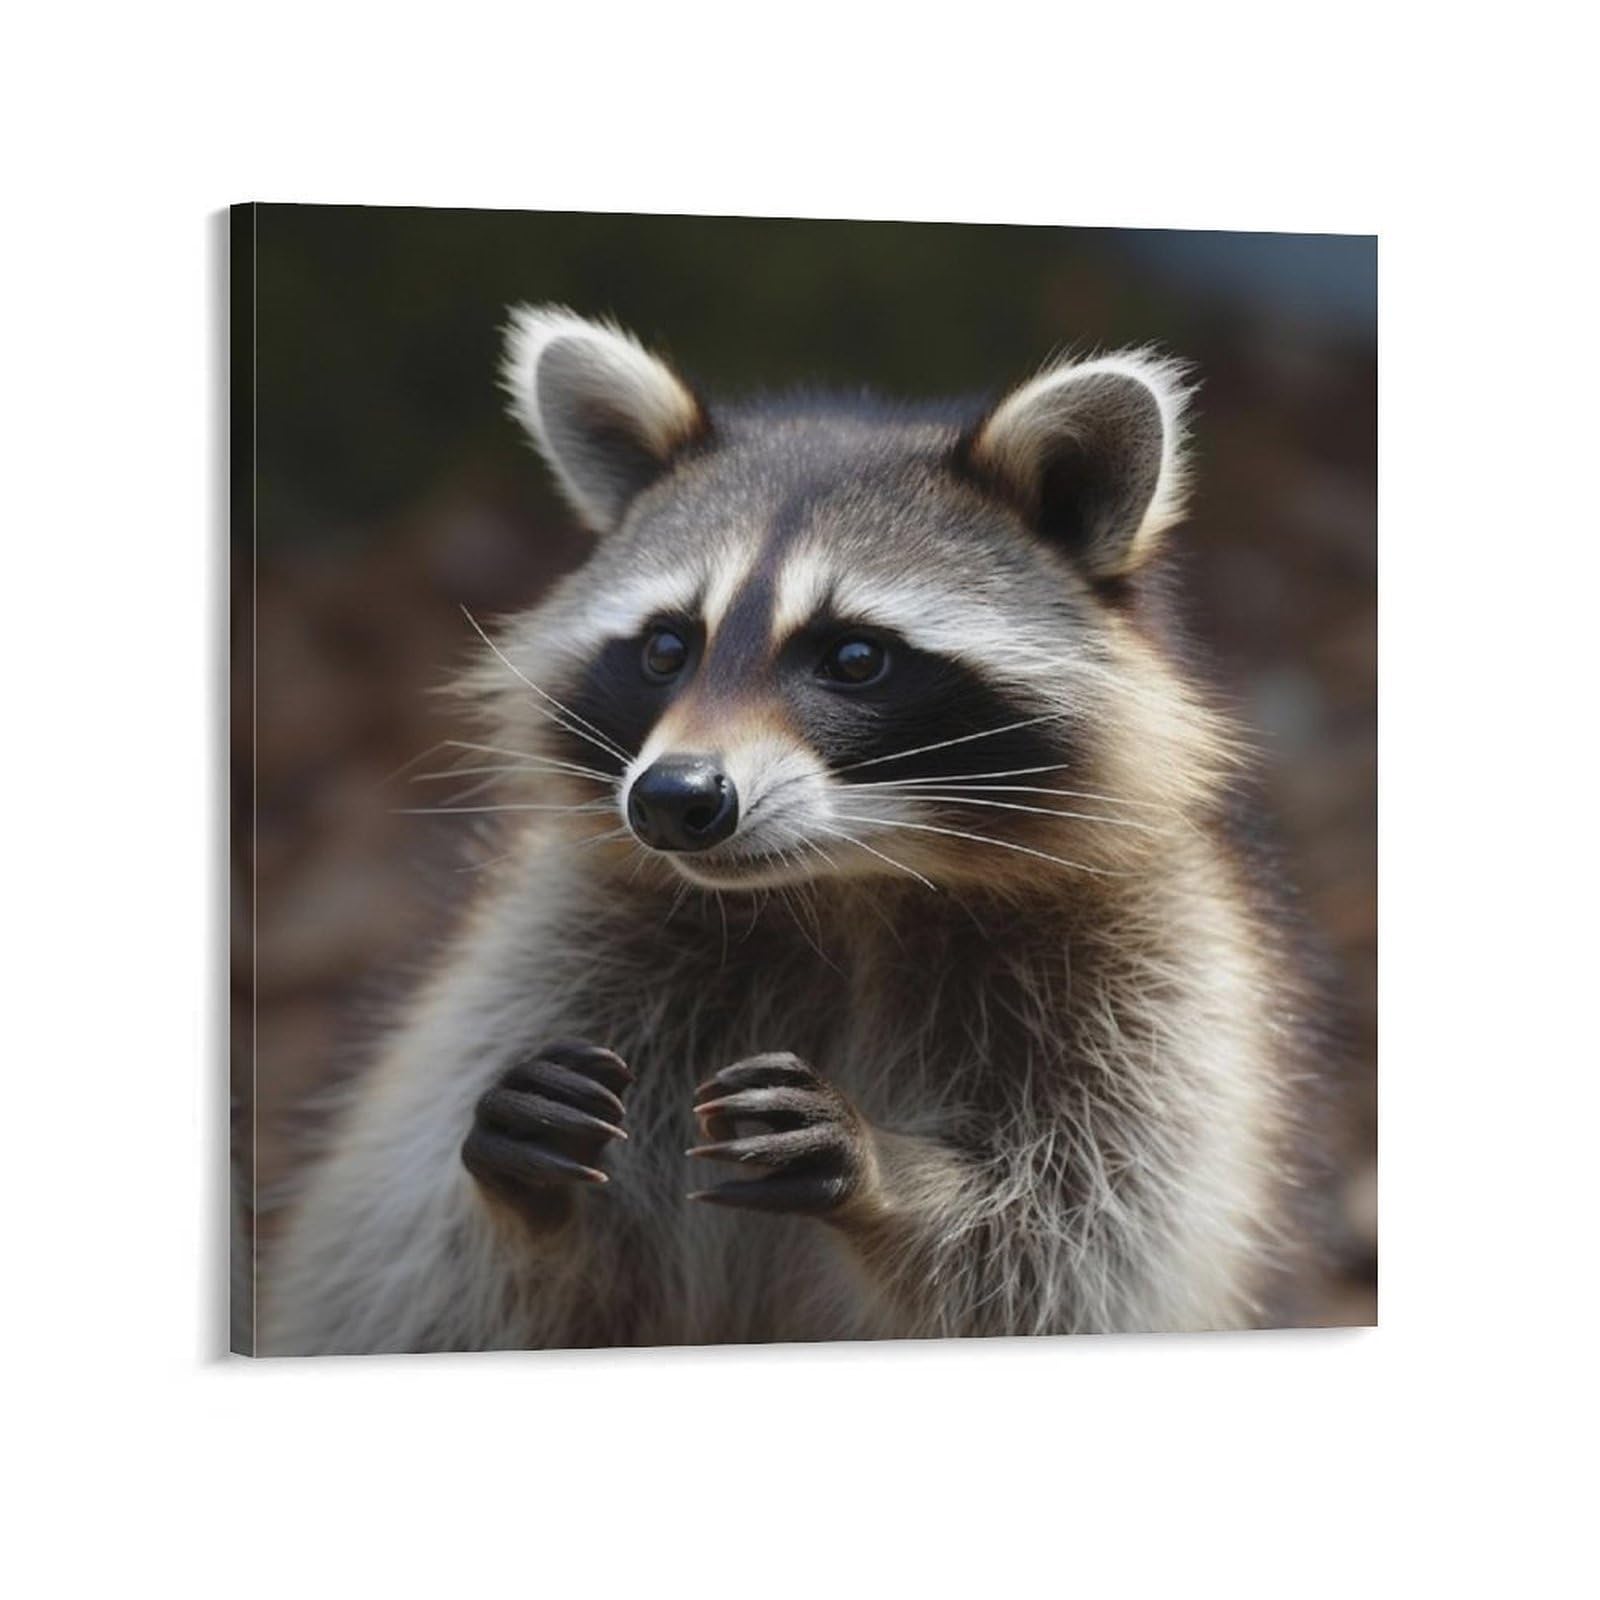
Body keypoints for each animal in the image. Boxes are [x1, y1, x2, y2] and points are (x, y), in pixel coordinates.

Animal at [261, 307, 1327, 1354]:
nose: (672, 797)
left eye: (855, 657)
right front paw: (529, 1201)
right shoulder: (564, 948)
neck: (840, 885)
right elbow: (453, 1272)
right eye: (666, 646)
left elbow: (1069, 1244)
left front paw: (895, 1179)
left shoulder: (1147, 979)